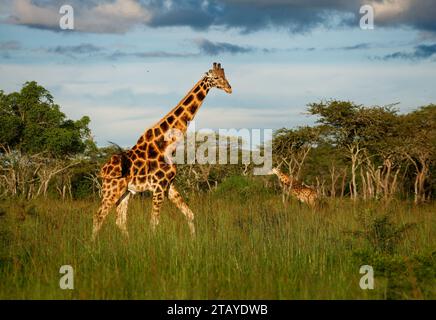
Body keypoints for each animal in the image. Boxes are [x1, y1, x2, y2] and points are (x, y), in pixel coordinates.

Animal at [93, 62, 232, 240]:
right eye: (215, 77)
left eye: (225, 76)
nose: (229, 88)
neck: (166, 144)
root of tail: (103, 169)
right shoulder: (158, 186)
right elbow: (154, 223)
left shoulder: (169, 185)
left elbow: (190, 214)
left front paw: (194, 242)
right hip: (111, 189)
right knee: (99, 216)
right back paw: (92, 245)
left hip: (125, 192)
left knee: (120, 220)